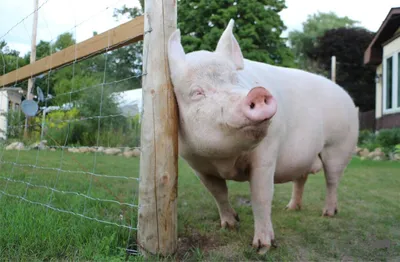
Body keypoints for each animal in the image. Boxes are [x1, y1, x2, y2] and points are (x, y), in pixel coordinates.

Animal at [166, 19, 360, 253]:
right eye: (197, 92)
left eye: (236, 79)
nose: (257, 92)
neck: (224, 160)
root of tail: (347, 97)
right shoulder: (196, 164)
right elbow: (218, 193)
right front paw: (230, 225)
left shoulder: (267, 152)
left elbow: (261, 196)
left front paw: (262, 247)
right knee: (301, 178)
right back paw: (291, 209)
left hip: (339, 146)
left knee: (332, 180)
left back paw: (328, 214)